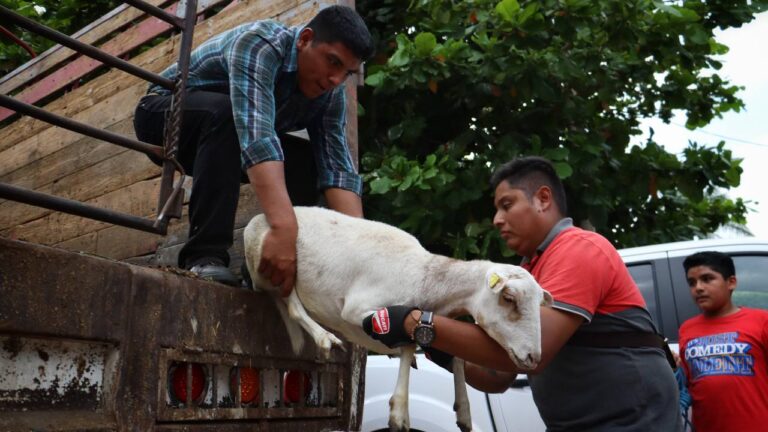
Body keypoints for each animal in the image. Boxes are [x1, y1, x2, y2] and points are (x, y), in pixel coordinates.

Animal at [243, 208, 548, 430]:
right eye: (509, 298)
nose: (534, 357)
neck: (426, 278)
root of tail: (253, 222)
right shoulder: (359, 309)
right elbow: (407, 344)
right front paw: (400, 414)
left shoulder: (405, 321)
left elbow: (424, 348)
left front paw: (461, 412)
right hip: (272, 264)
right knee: (292, 304)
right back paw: (324, 337)